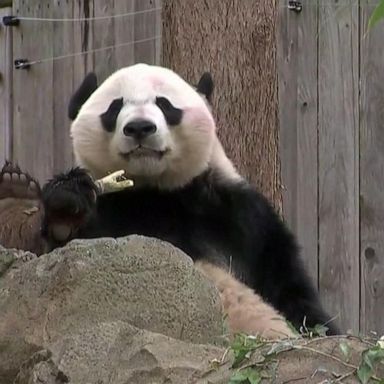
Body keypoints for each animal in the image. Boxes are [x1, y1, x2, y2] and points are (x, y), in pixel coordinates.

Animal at [0, 63, 338, 340]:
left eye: (164, 104)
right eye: (114, 107)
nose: (139, 127)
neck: (156, 191)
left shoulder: (238, 215)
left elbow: (286, 281)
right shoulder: (111, 214)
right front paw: (66, 208)